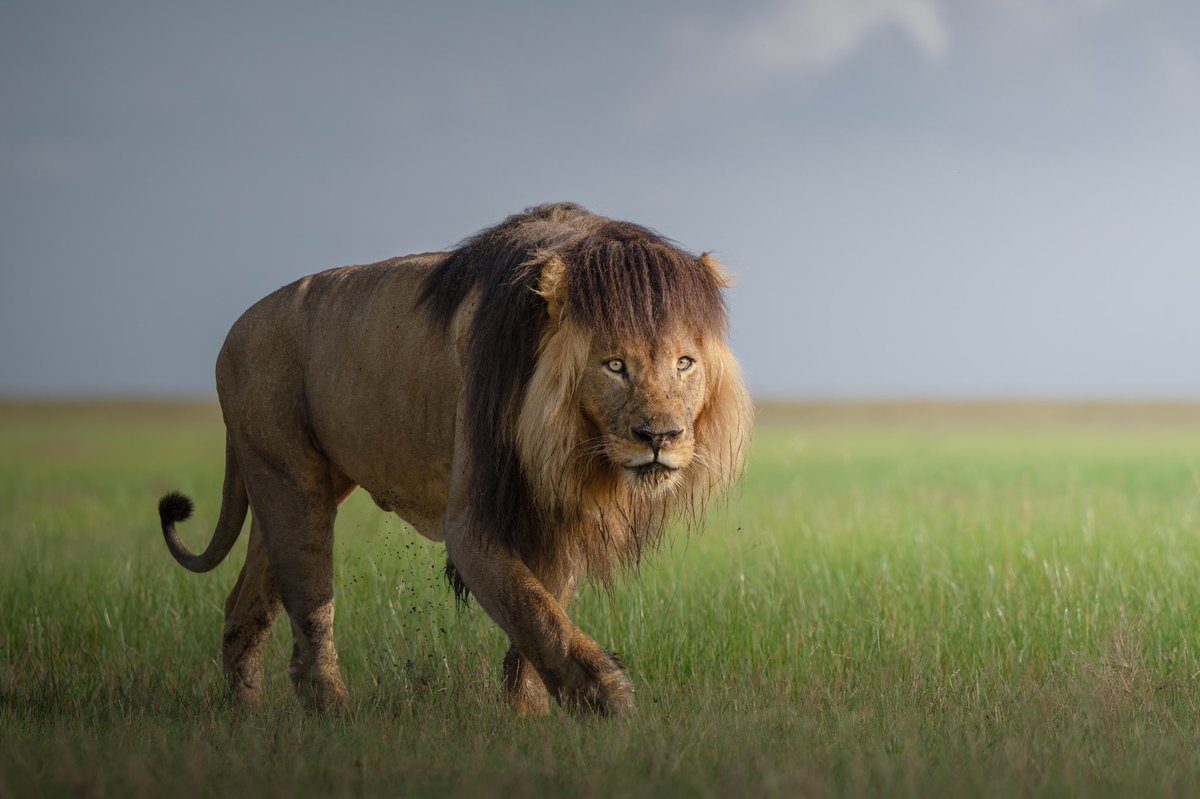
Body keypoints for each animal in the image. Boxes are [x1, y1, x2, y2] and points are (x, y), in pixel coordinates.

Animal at [158, 202, 752, 716]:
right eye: (613, 365)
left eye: (684, 362)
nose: (661, 436)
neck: (563, 439)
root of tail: (236, 329)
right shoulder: (471, 522)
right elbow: (534, 610)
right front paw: (609, 700)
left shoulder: (559, 513)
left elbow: (543, 611)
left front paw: (528, 714)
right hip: (290, 477)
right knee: (310, 603)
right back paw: (336, 715)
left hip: (288, 483)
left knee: (245, 606)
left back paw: (248, 714)